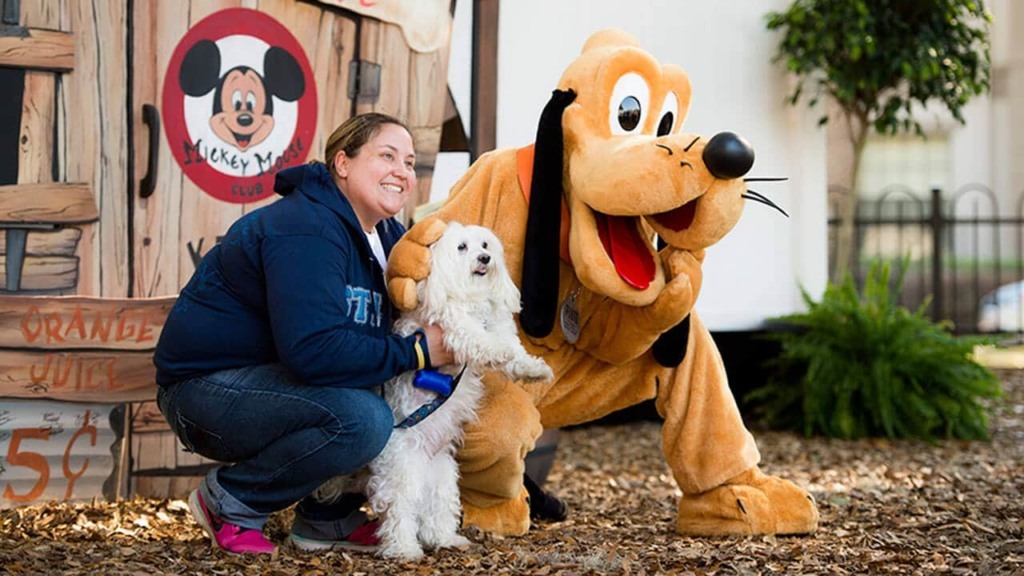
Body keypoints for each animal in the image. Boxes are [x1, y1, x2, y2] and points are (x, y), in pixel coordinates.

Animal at [319, 219, 552, 557]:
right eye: (462, 247)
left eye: (485, 245)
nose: (485, 259)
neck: (471, 297)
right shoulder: (453, 327)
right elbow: (484, 341)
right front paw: (501, 352)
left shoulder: (498, 326)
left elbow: (512, 350)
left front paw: (535, 369)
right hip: (402, 470)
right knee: (399, 510)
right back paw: (404, 549)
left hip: (442, 473)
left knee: (436, 510)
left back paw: (446, 539)